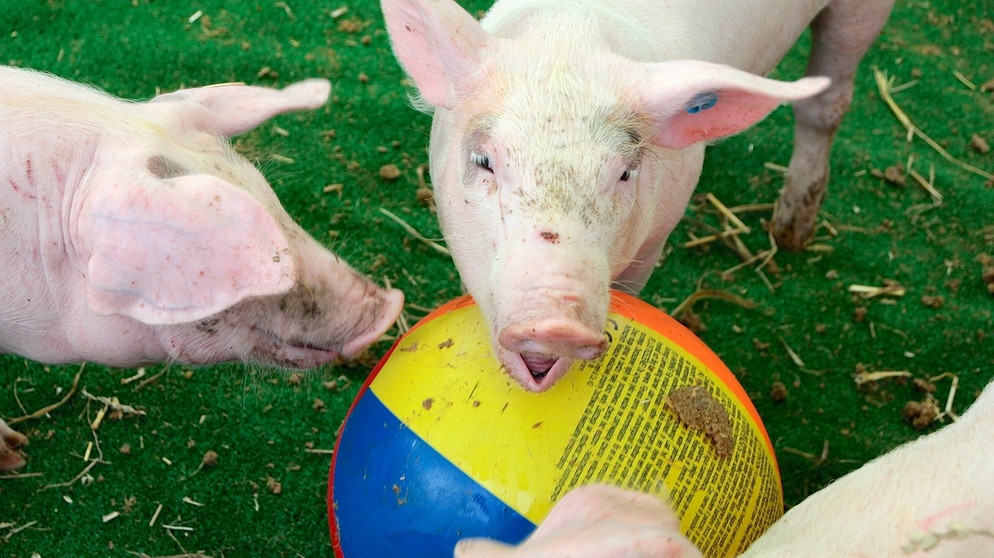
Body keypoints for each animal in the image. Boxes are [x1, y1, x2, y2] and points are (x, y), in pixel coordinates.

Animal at [380, 0, 892, 394]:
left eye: (625, 172)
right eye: (484, 161)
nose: (557, 324)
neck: (571, 34)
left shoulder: (656, 237)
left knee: (827, 103)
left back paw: (791, 233)